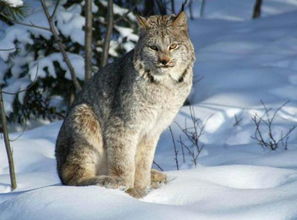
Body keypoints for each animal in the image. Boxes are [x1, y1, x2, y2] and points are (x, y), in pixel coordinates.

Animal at [55, 11, 194, 198]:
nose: (164, 61)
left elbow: (143, 162)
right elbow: (123, 161)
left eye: (173, 46)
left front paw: (142, 190)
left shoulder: (152, 129)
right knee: (72, 180)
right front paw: (128, 190)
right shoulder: (123, 124)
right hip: (83, 113)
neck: (165, 84)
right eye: (153, 48)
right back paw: (107, 180)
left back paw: (156, 176)